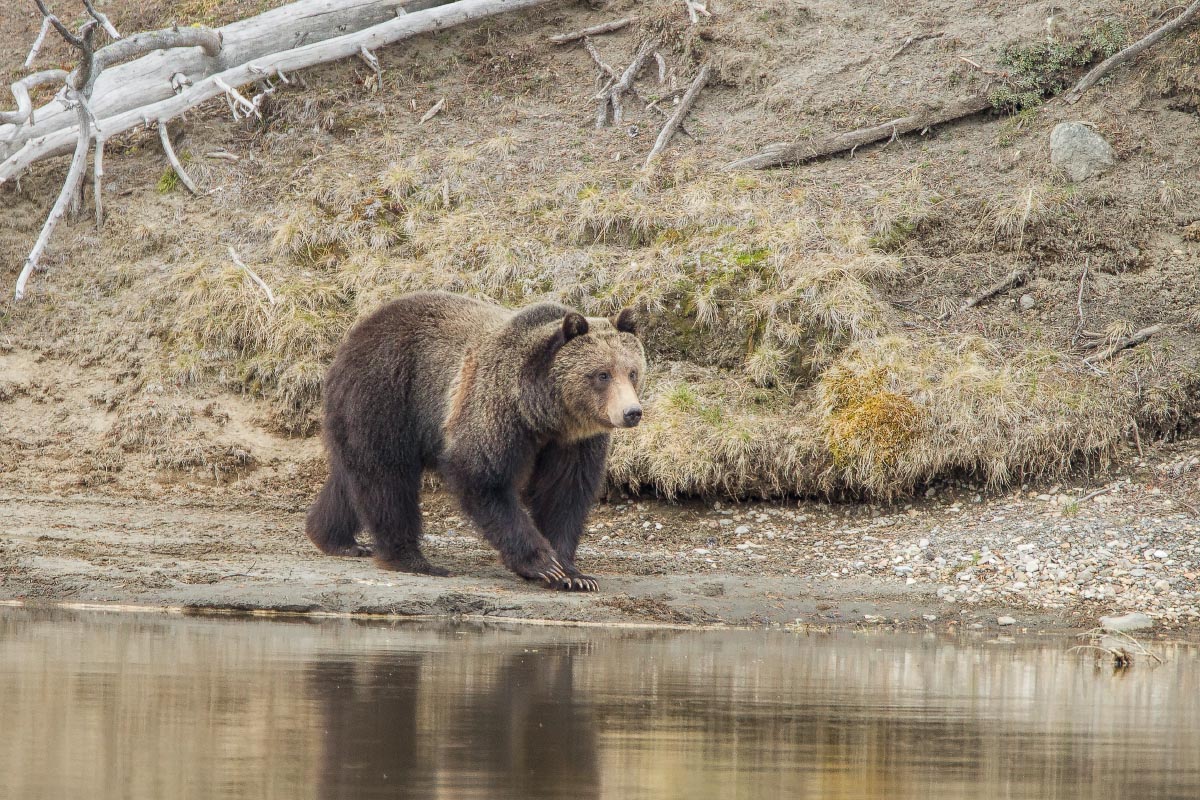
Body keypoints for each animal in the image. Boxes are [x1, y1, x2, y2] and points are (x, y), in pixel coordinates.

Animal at [309, 291, 648, 592]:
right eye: (602, 374)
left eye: (632, 372)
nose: (631, 412)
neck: (544, 414)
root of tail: (358, 329)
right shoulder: (495, 408)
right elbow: (482, 477)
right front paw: (543, 564)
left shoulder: (574, 442)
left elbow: (564, 493)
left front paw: (574, 574)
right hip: (386, 393)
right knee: (386, 479)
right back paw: (411, 559)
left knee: (351, 478)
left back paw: (335, 538)